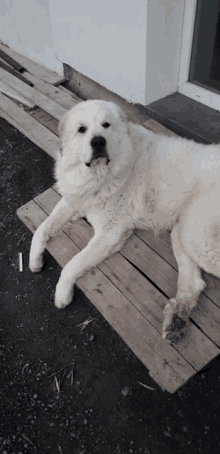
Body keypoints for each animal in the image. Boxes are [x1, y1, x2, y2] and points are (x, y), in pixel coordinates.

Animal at [29, 98, 220, 340]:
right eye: (82, 129)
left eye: (106, 125)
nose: (98, 141)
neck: (101, 174)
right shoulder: (74, 200)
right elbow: (41, 229)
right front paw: (34, 261)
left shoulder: (110, 232)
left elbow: (73, 263)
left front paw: (62, 294)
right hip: (184, 230)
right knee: (195, 283)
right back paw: (176, 319)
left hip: (200, 240)